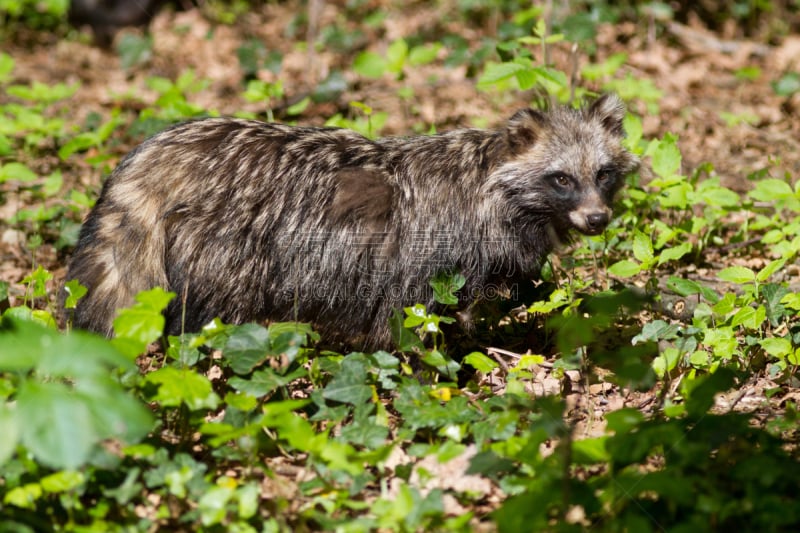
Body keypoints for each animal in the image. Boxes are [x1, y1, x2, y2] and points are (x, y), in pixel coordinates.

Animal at [62, 93, 636, 348]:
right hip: (228, 256)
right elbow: (404, 327)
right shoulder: (423, 260)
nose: (597, 219)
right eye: (561, 178)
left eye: (602, 173)